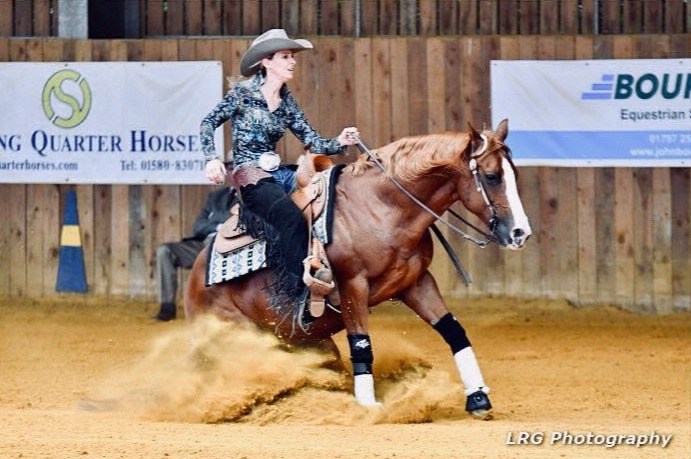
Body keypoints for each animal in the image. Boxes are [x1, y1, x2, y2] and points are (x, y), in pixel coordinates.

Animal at [182, 119, 528, 420]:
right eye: (492, 176)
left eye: (513, 173)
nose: (520, 233)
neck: (382, 207)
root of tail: (195, 279)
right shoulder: (352, 287)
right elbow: (362, 344)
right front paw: (368, 406)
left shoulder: (416, 283)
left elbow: (454, 332)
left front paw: (478, 397)